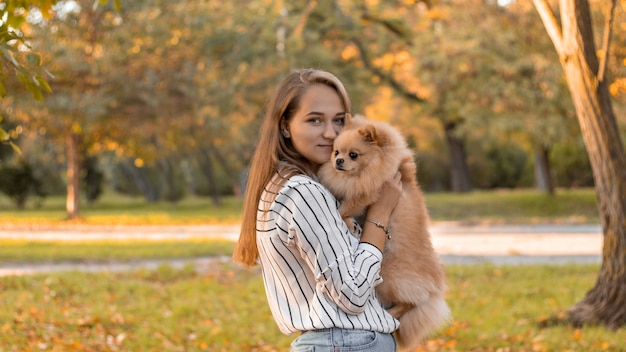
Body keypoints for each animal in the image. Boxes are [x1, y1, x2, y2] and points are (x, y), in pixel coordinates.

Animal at [316, 115, 448, 350]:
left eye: (353, 155)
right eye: (336, 152)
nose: (338, 161)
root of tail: (435, 286)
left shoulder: (370, 190)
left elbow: (345, 207)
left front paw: (345, 219)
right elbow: (346, 205)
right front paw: (351, 223)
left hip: (387, 275)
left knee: (410, 303)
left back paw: (393, 314)